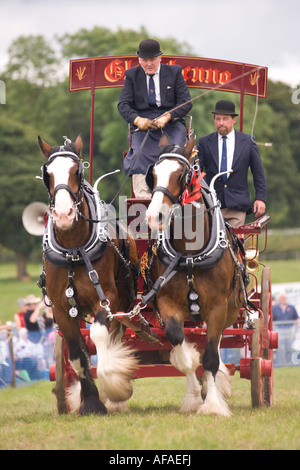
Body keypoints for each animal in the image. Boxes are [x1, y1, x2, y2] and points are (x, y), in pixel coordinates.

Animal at [38, 135, 139, 414]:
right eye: (47, 174)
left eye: (77, 171)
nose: (63, 215)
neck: (74, 250)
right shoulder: (62, 309)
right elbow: (77, 354)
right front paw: (91, 401)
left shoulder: (106, 299)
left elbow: (99, 337)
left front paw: (116, 387)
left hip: (123, 304)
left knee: (113, 338)